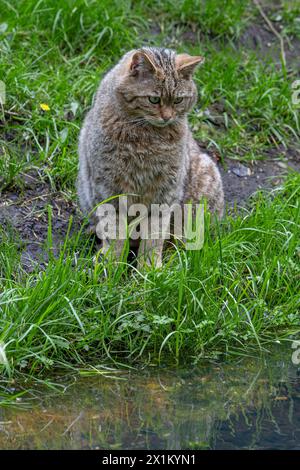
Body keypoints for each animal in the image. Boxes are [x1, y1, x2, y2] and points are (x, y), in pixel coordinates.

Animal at [78, 47, 224, 268]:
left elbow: (154, 236)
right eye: (154, 99)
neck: (146, 138)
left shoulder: (164, 192)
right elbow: (116, 234)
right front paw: (111, 265)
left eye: (178, 100)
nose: (167, 117)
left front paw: (150, 269)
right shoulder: (109, 189)